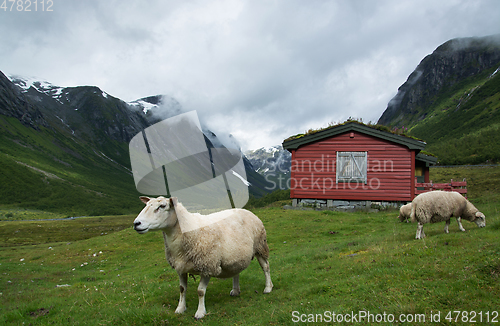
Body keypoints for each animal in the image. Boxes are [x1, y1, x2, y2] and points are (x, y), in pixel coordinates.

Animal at [133, 196, 274, 318]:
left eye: (162, 206)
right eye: (146, 205)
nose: (136, 223)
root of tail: (247, 211)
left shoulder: (208, 266)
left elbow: (200, 291)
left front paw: (200, 312)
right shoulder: (181, 267)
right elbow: (182, 289)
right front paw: (180, 308)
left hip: (260, 246)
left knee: (266, 267)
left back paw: (268, 287)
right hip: (235, 255)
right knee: (236, 271)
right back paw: (236, 290)